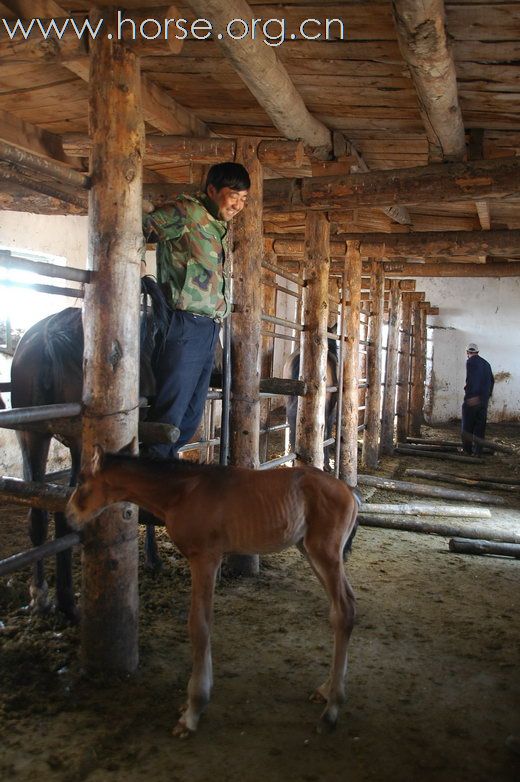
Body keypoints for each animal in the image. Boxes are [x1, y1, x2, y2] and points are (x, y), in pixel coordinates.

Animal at [10, 278, 169, 620]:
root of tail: (49, 337)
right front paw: (153, 557)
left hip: (31, 434)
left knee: (38, 512)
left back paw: (41, 596)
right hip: (77, 446)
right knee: (64, 512)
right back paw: (69, 602)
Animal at [67, 444, 360, 740]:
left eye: (80, 481)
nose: (69, 516)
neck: (183, 492)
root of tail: (349, 492)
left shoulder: (205, 558)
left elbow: (199, 624)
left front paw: (193, 709)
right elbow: (203, 622)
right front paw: (194, 703)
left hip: (325, 553)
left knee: (344, 610)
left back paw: (332, 710)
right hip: (310, 551)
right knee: (343, 607)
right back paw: (325, 690)